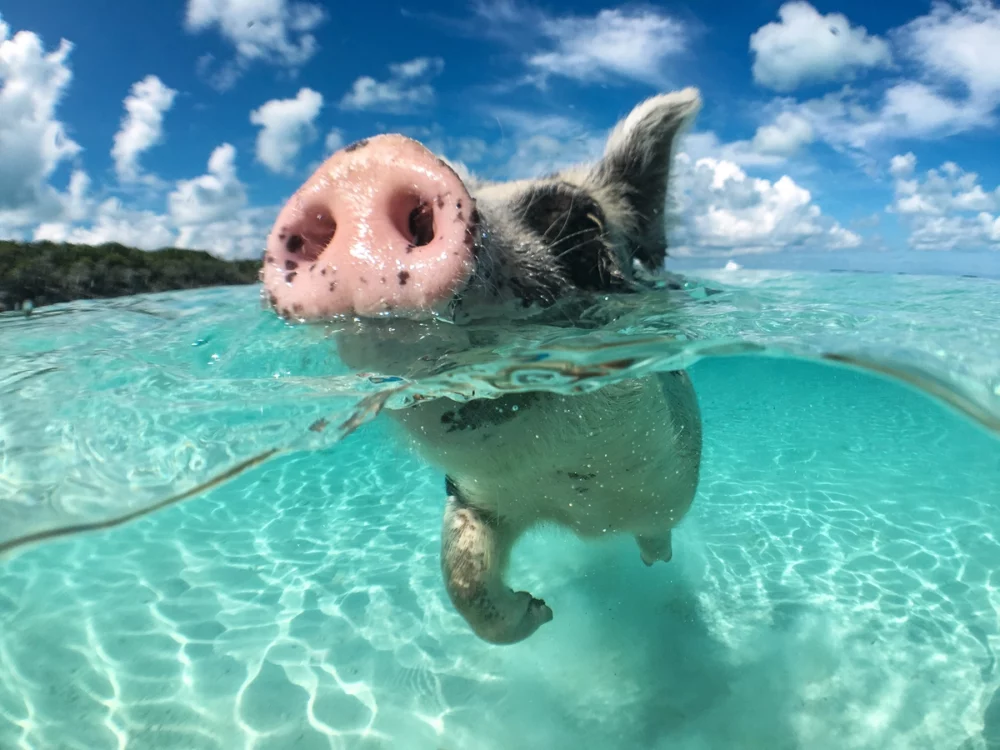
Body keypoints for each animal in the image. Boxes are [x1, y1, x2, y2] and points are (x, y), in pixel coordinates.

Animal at [262, 86, 708, 648]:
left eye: (578, 222)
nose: (365, 165)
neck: (574, 504)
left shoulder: (665, 483)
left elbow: (655, 528)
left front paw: (625, 574)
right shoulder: (474, 497)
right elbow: (462, 576)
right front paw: (541, 611)